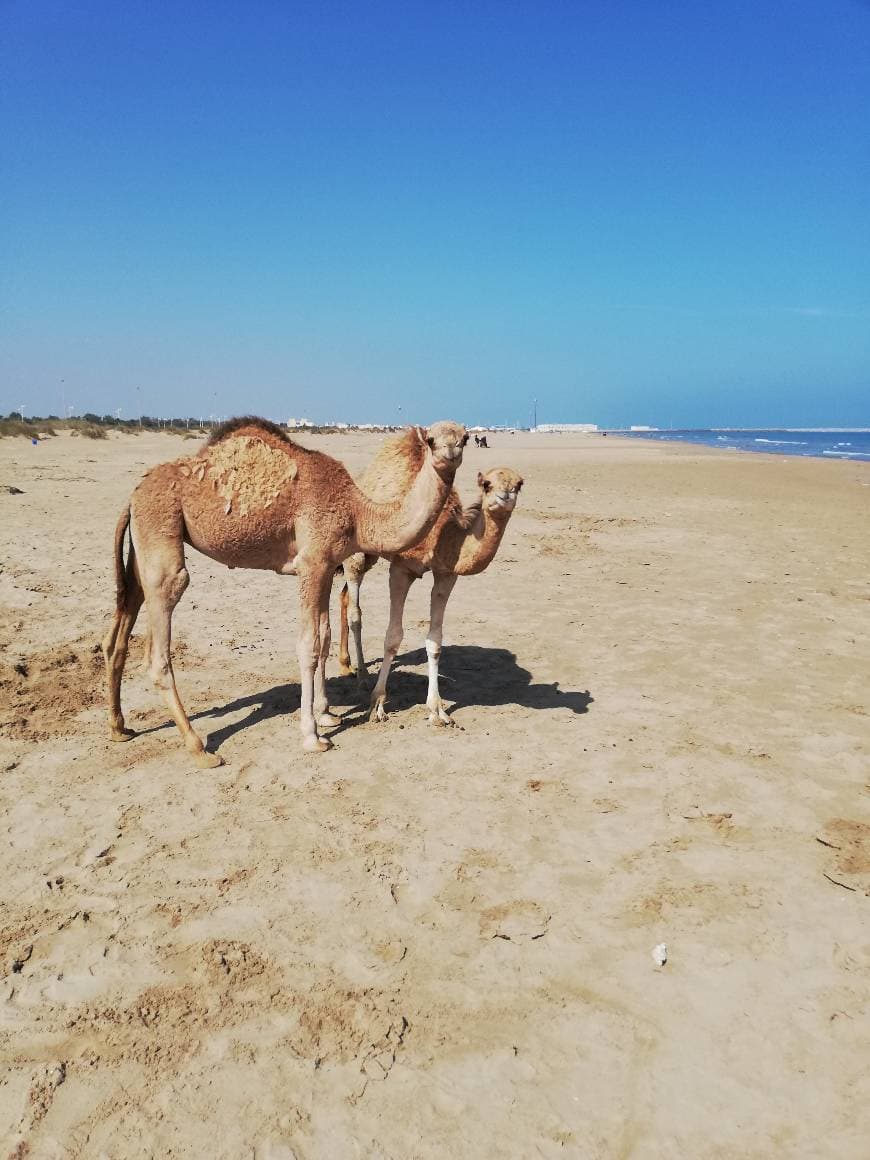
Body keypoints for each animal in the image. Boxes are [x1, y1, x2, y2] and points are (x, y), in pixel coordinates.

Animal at [102, 417, 470, 760]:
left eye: (465, 438)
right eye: (431, 439)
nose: (449, 453)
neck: (357, 512)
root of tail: (133, 495)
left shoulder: (326, 564)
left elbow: (324, 637)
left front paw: (326, 715)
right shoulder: (312, 562)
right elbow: (308, 646)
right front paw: (312, 736)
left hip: (145, 541)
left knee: (125, 617)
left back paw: (119, 728)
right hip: (161, 523)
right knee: (164, 615)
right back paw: (198, 748)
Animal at [336, 464, 522, 719]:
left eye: (519, 484)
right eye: (486, 484)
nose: (504, 497)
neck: (443, 533)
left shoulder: (446, 574)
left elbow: (435, 641)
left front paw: (437, 709)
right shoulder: (401, 568)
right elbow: (393, 637)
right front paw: (378, 702)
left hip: (370, 553)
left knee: (343, 595)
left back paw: (346, 666)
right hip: (355, 554)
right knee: (355, 612)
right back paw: (362, 677)